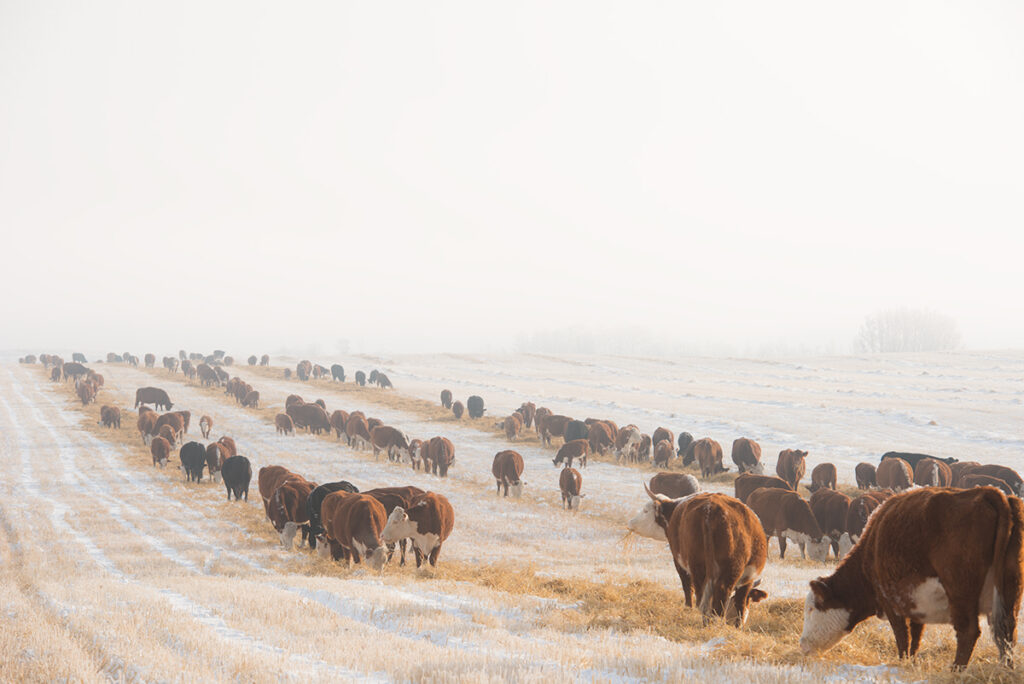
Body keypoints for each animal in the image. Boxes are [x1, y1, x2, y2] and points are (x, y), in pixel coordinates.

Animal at [798, 489, 1024, 671]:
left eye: (811, 609)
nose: (802, 644)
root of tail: (989, 492)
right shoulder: (915, 607)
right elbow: (915, 637)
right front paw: (912, 662)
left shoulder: (890, 602)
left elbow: (902, 637)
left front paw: (903, 662)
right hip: (1010, 592)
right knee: (1007, 632)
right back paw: (1006, 669)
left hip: (960, 592)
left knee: (968, 631)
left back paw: (956, 671)